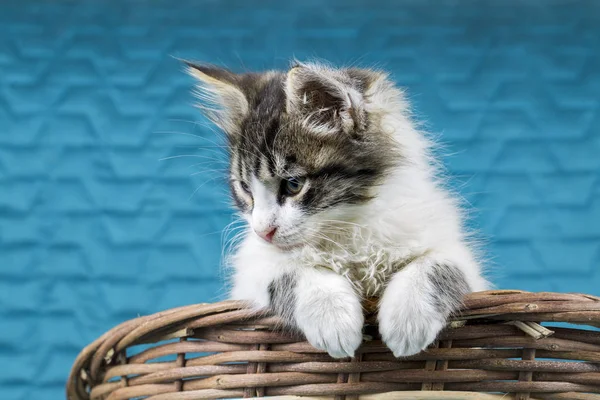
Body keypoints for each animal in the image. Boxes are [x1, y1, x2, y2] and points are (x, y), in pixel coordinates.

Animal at [186, 61, 488, 358]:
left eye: (293, 185)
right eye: (246, 188)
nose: (263, 232)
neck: (345, 227)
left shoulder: (456, 254)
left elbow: (435, 265)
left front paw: (409, 320)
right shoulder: (252, 269)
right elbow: (294, 270)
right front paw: (332, 320)